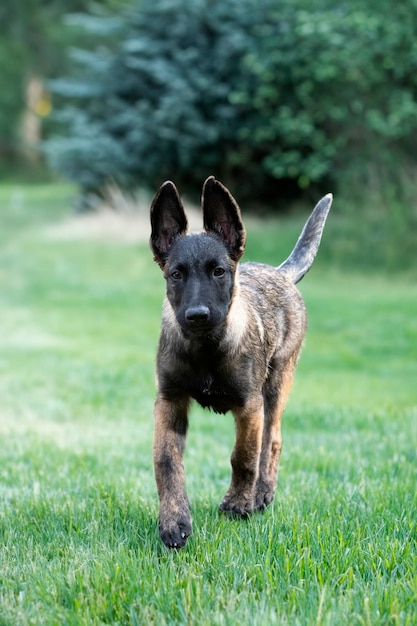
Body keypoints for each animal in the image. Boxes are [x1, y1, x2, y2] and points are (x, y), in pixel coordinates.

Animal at [150, 176, 332, 544]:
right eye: (176, 275)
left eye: (219, 272)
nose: (197, 316)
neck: (206, 349)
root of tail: (281, 274)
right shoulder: (170, 401)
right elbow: (166, 460)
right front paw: (174, 520)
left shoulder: (249, 405)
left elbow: (244, 456)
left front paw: (238, 504)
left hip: (276, 386)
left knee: (272, 441)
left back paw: (261, 494)